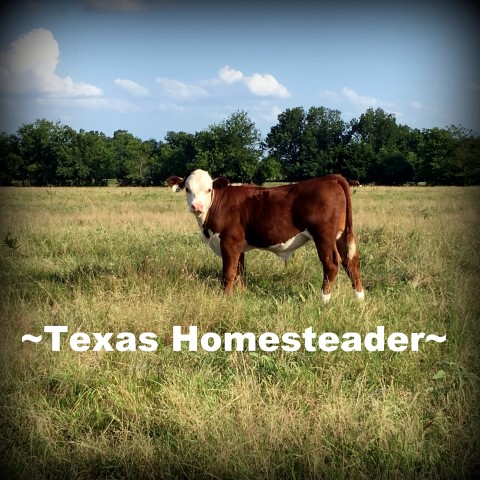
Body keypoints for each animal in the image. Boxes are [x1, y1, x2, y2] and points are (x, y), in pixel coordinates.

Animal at [166, 171, 364, 302]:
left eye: (208, 190)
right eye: (187, 189)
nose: (197, 206)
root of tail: (331, 177)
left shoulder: (229, 241)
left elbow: (228, 272)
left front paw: (226, 297)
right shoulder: (239, 245)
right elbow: (240, 271)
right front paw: (241, 294)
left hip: (324, 235)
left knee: (331, 263)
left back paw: (324, 299)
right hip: (341, 235)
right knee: (351, 261)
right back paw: (359, 297)